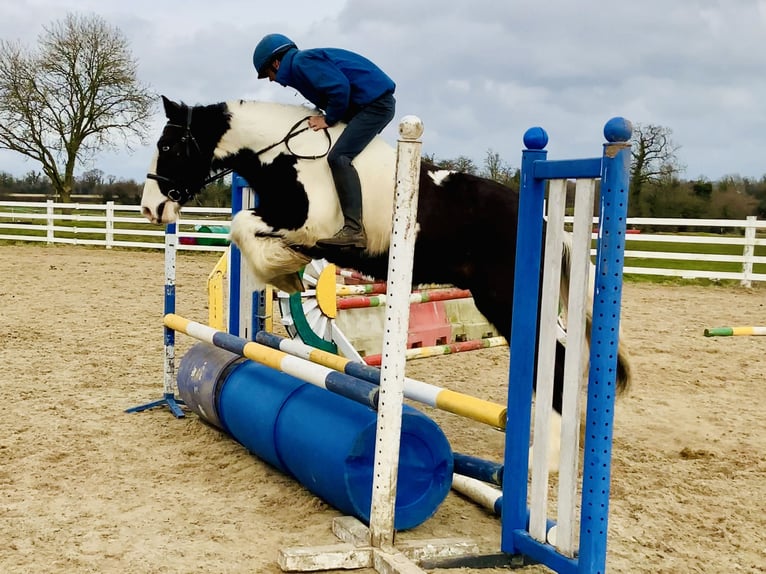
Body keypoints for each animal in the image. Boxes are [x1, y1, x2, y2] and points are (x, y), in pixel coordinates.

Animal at [141, 95, 632, 464]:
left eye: (170, 146)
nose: (150, 208)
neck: (286, 155)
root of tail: (547, 221)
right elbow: (247, 231)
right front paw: (286, 273)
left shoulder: (308, 224)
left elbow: (244, 226)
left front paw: (282, 271)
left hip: (507, 298)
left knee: (557, 356)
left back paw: (543, 457)